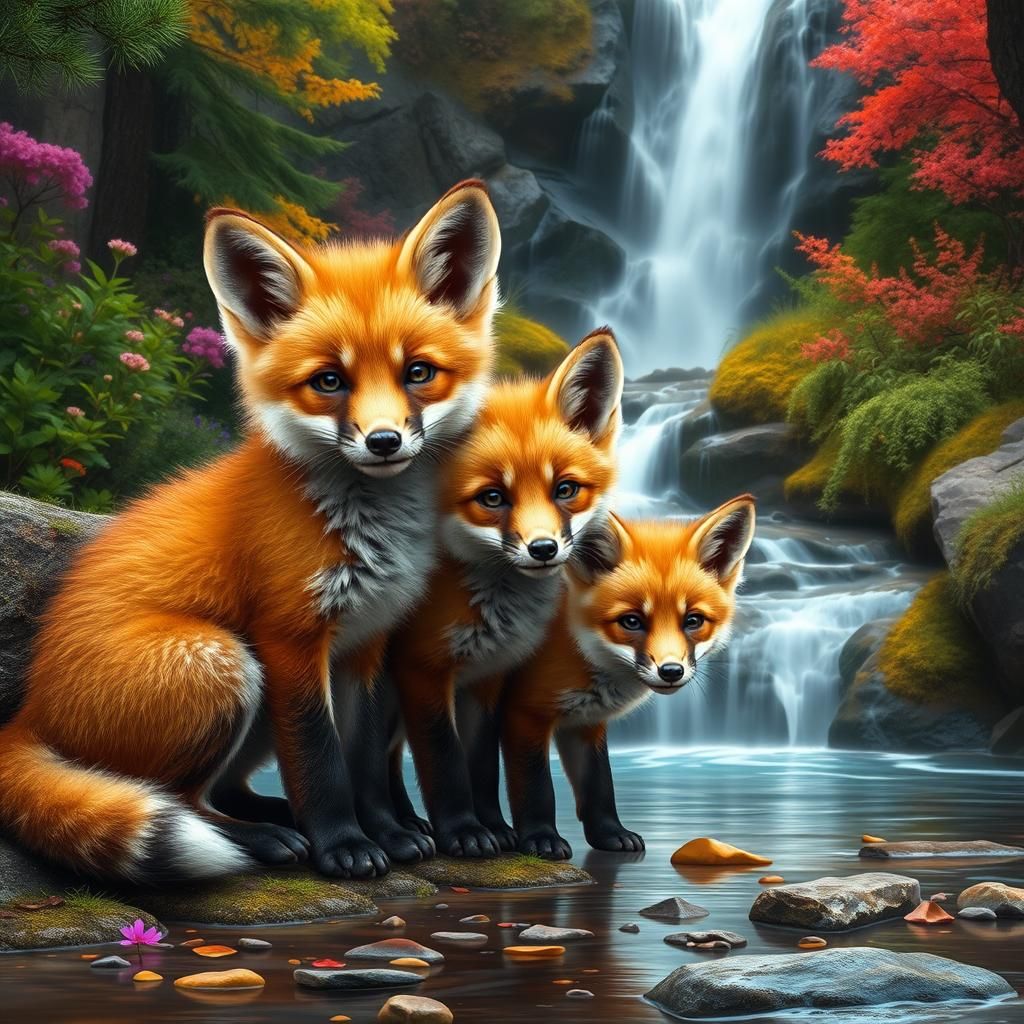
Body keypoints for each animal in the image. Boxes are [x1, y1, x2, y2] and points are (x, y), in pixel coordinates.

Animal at [0, 181, 501, 884]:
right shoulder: (291, 639)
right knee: (178, 799)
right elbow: (321, 764)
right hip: (224, 661)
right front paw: (343, 846)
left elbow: (366, 764)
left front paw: (388, 833)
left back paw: (274, 819)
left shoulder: (368, 641)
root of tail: (25, 714)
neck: (372, 531)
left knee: (228, 790)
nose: (383, 441)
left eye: (419, 373)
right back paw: (263, 841)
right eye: (329, 380)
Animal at [345, 331, 624, 863]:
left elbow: (482, 767)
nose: (543, 549)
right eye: (493, 498)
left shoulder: (489, 678)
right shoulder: (424, 671)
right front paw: (464, 832)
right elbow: (446, 762)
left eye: (565, 490)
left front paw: (496, 828)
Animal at [501, 497, 756, 859]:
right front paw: (541, 838)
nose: (671, 671)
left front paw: (609, 834)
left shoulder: (585, 721)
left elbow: (599, 784)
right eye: (632, 621)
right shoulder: (525, 713)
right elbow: (536, 786)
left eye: (693, 620)